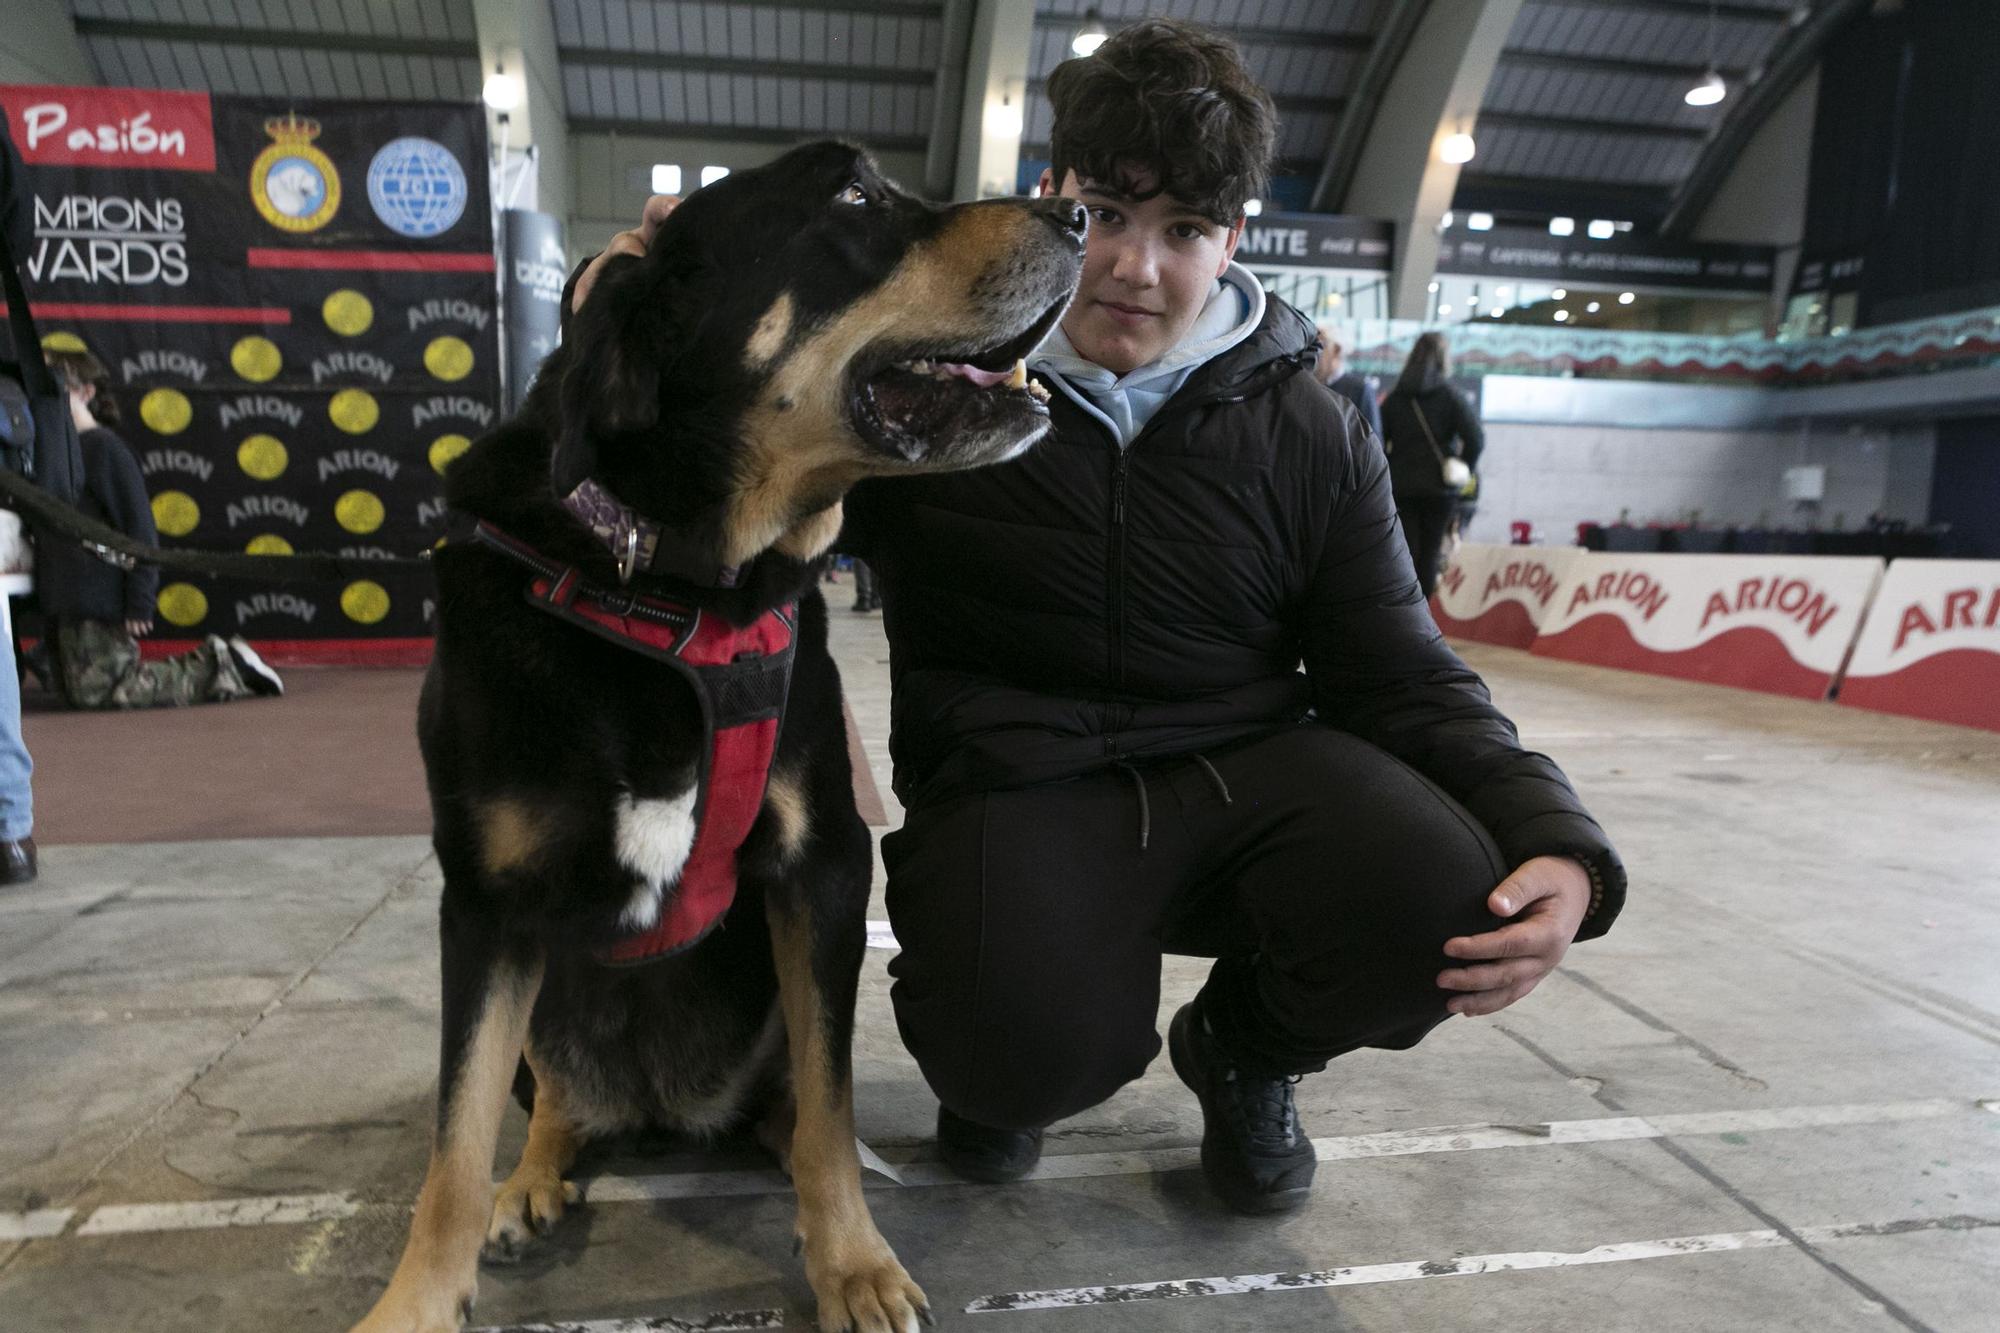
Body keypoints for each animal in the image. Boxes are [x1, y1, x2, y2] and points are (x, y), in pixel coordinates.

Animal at [352, 137, 1088, 1328]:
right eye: (853, 196)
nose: (1078, 214)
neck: (667, 587)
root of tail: (662, 1110)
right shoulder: (486, 906)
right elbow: (453, 1145)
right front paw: (417, 1298)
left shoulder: (823, 864)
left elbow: (833, 1105)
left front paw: (852, 1262)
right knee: (548, 1096)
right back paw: (535, 1173)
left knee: (793, 1101)